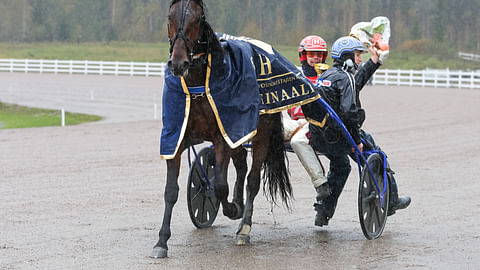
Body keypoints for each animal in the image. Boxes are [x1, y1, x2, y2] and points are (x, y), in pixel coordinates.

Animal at [152, 0, 290, 258]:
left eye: (198, 18)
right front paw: (161, 242)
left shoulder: (222, 137)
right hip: (239, 131)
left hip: (260, 134)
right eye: (169, 17)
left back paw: (244, 228)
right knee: (242, 164)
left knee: (252, 179)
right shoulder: (177, 138)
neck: (198, 88)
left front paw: (233, 209)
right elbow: (171, 191)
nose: (178, 63)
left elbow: (220, 186)